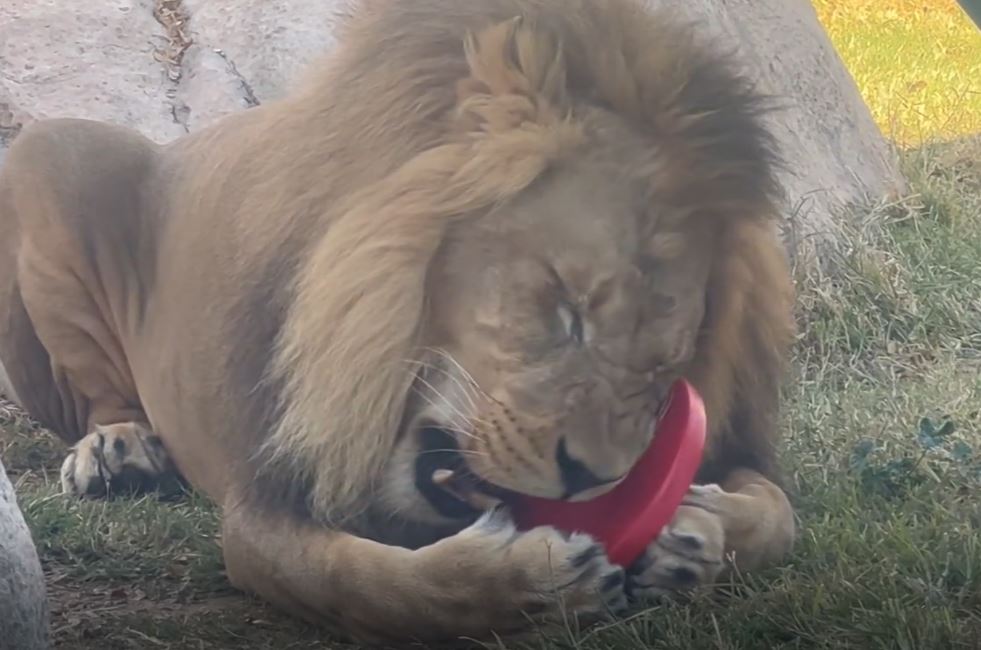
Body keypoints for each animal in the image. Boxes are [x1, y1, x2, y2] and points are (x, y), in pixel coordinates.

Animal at [0, 0, 797, 643]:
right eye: (567, 306)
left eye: (665, 367)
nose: (590, 479)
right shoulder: (264, 498)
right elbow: (369, 585)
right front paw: (528, 582)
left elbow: (780, 511)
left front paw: (697, 533)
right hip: (50, 153)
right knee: (100, 395)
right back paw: (119, 451)